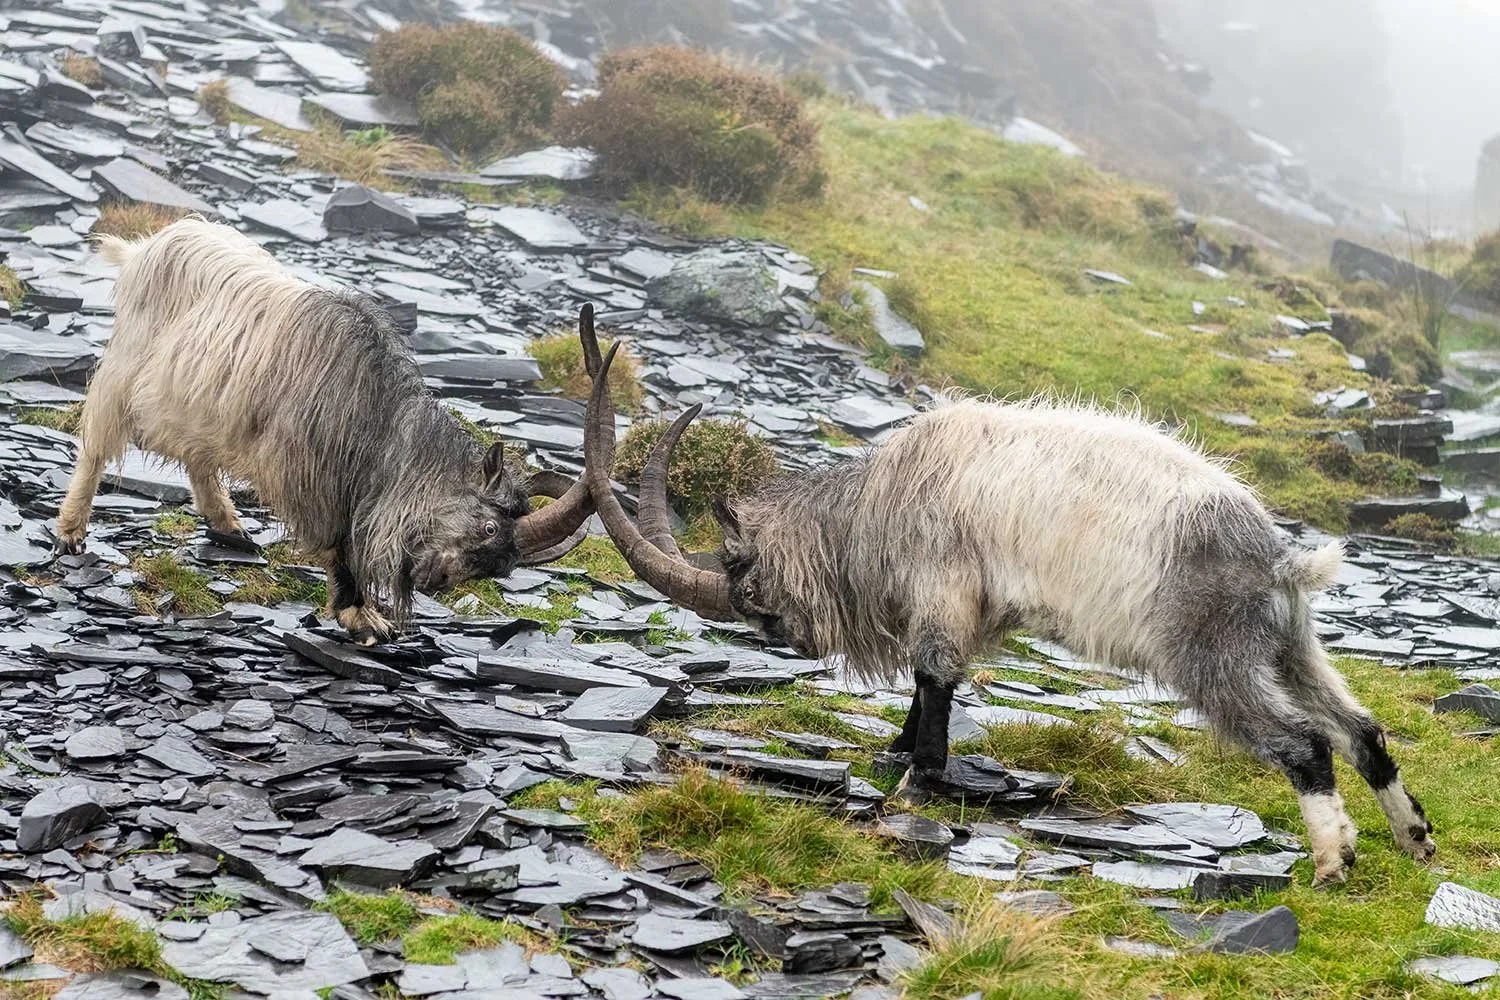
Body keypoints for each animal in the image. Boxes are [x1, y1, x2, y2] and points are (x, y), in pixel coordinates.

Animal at [55, 216, 596, 643]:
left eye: (500, 565)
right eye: (488, 527)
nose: (436, 582)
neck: (380, 421)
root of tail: (145, 248)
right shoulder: (315, 479)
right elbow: (341, 545)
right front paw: (359, 615)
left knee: (198, 456)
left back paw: (229, 526)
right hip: (126, 369)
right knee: (97, 446)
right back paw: (71, 533)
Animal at [575, 316, 1434, 887]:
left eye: (737, 567)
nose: (774, 632)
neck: (879, 502)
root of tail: (1280, 559)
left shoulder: (943, 589)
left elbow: (934, 675)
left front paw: (915, 782)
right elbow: (932, 682)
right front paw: (897, 753)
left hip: (1211, 656)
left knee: (1305, 744)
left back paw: (1333, 861)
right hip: (1288, 648)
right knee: (1360, 731)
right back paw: (1416, 839)